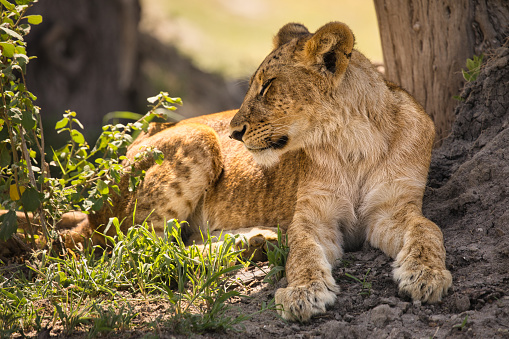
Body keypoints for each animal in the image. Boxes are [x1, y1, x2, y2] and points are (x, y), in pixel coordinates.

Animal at [12, 22, 452, 322]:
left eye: (268, 85)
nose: (235, 132)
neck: (353, 142)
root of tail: (92, 209)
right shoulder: (313, 216)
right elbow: (304, 252)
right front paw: (303, 294)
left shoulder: (394, 209)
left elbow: (428, 229)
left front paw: (427, 276)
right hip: (196, 141)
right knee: (137, 248)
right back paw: (256, 244)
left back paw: (257, 241)